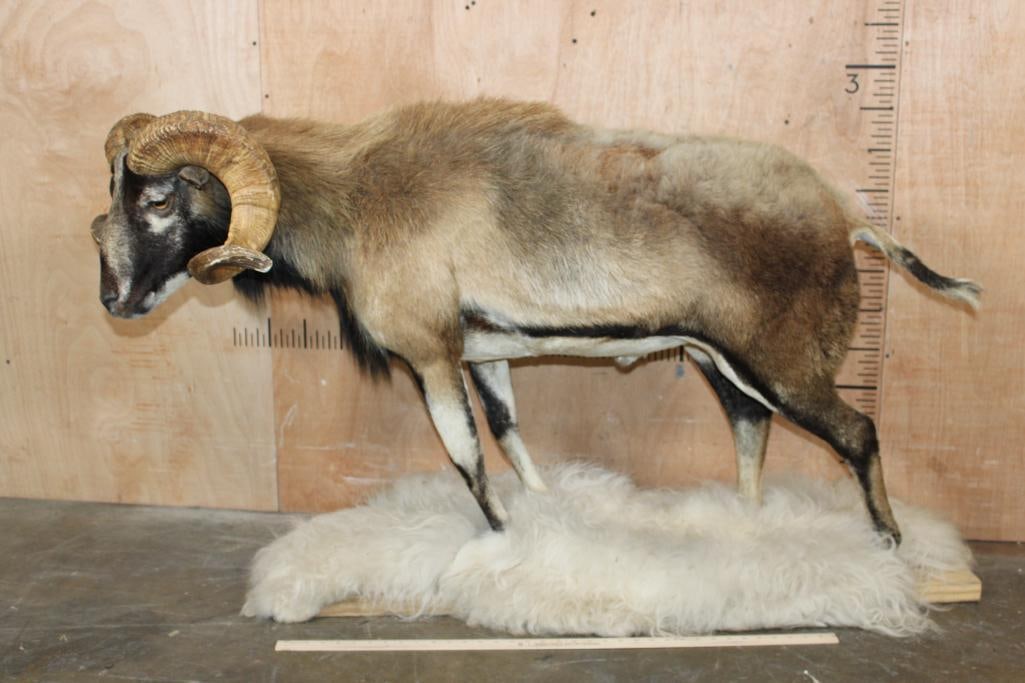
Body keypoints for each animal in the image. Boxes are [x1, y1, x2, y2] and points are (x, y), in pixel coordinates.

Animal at [91, 98, 981, 544]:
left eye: (160, 199)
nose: (114, 299)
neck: (357, 202)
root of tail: (846, 219)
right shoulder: (483, 357)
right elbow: (511, 436)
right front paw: (547, 516)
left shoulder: (432, 357)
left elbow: (465, 455)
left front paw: (499, 539)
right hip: (725, 364)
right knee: (749, 430)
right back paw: (745, 527)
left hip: (788, 367)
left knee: (857, 432)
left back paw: (889, 545)